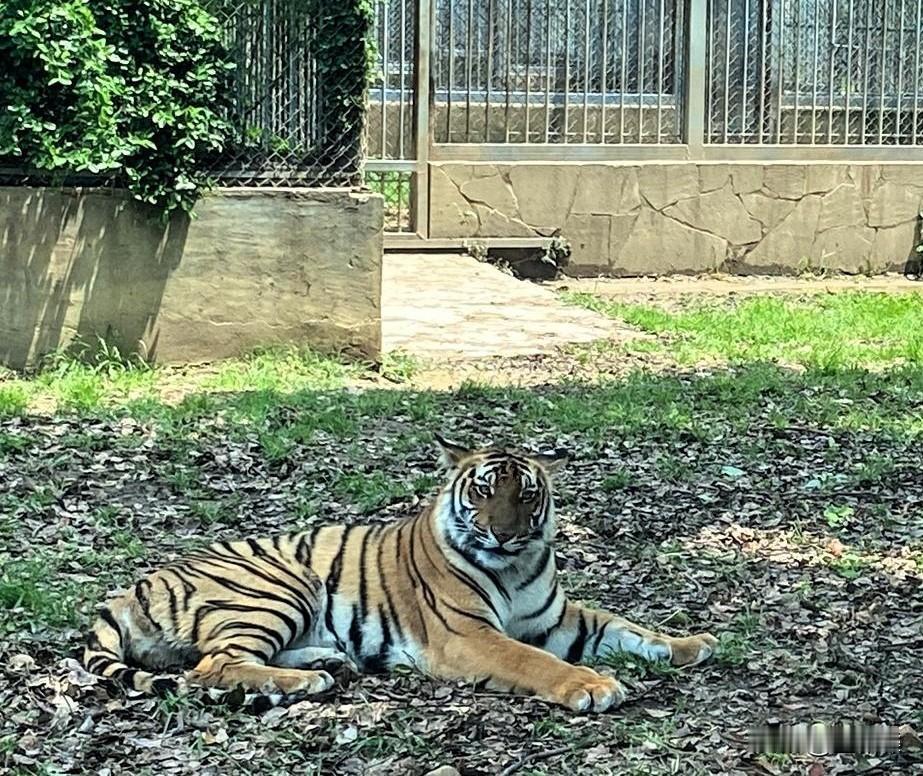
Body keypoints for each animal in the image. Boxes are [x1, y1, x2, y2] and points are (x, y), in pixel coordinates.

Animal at [83, 434, 718, 712]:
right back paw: (305, 682)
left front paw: (692, 644)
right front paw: (591, 686)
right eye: (484, 491)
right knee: (214, 666)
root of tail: (132, 587)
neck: (515, 567)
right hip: (279, 586)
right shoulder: (467, 635)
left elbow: (626, 627)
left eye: (526, 494)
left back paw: (327, 661)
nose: (504, 533)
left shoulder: (559, 619)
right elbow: (532, 661)